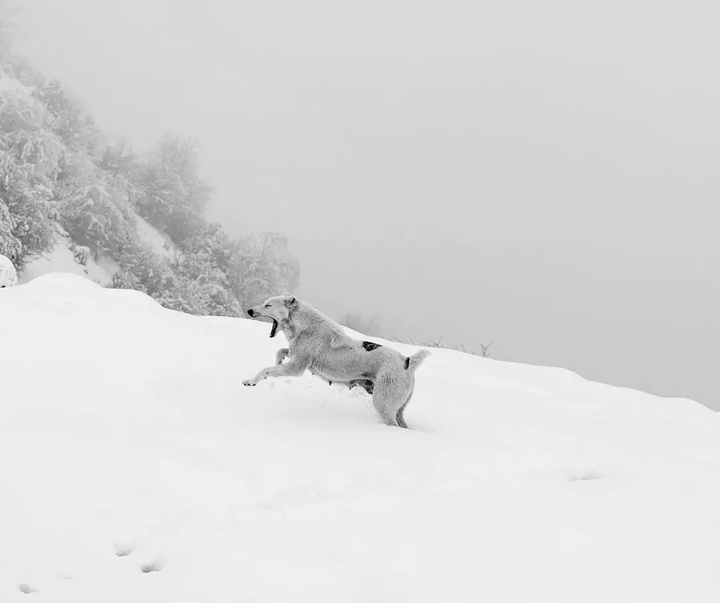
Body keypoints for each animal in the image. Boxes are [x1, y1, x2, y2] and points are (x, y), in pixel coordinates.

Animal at [245, 294, 430, 428]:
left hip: (383, 404)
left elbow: (265, 369)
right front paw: (277, 361)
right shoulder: (295, 356)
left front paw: (251, 381)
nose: (249, 311)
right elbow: (280, 353)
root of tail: (407, 362)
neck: (304, 325)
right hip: (398, 408)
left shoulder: (295, 368)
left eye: (268, 305)